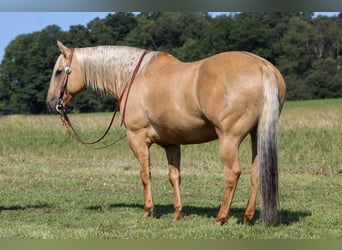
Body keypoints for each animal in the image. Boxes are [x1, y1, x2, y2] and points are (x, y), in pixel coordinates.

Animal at [46, 41, 286, 227]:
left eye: (59, 72)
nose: (51, 104)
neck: (134, 76)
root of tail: (263, 67)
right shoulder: (172, 143)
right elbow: (174, 176)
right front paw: (177, 213)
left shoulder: (137, 138)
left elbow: (145, 174)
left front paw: (147, 211)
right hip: (256, 135)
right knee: (257, 174)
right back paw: (247, 217)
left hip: (229, 138)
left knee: (232, 173)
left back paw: (221, 217)